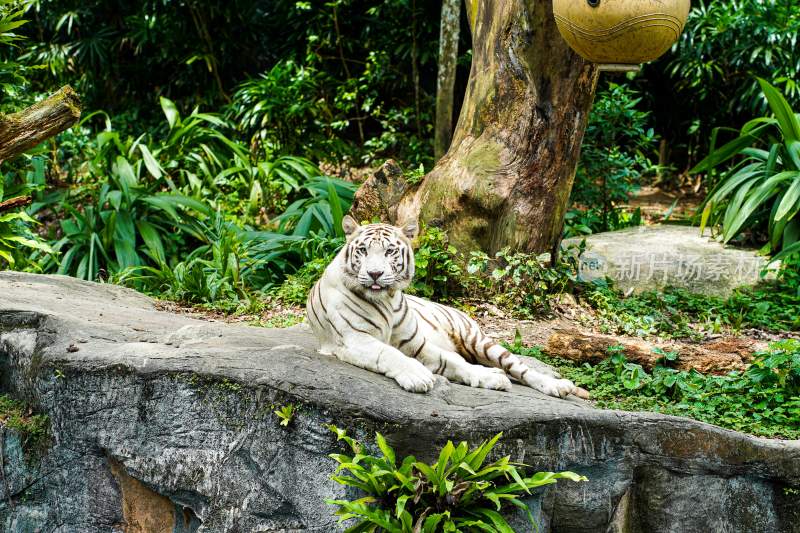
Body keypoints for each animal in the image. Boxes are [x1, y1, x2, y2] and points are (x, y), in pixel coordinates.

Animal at [308, 214, 580, 396]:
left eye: (389, 252)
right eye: (363, 250)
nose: (375, 274)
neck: (388, 299)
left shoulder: (415, 342)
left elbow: (452, 362)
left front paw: (488, 377)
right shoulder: (355, 339)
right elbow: (390, 354)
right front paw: (418, 376)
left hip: (478, 340)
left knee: (519, 369)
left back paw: (557, 386)